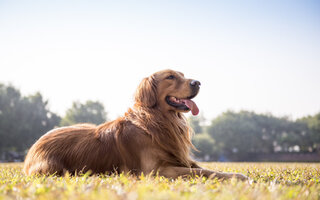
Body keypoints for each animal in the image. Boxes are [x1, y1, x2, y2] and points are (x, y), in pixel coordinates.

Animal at [23, 69, 248, 180]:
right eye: (170, 77)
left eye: (184, 76)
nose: (198, 82)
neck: (159, 121)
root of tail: (32, 149)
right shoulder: (157, 171)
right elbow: (202, 172)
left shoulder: (180, 159)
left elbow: (207, 168)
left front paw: (236, 174)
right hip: (53, 168)